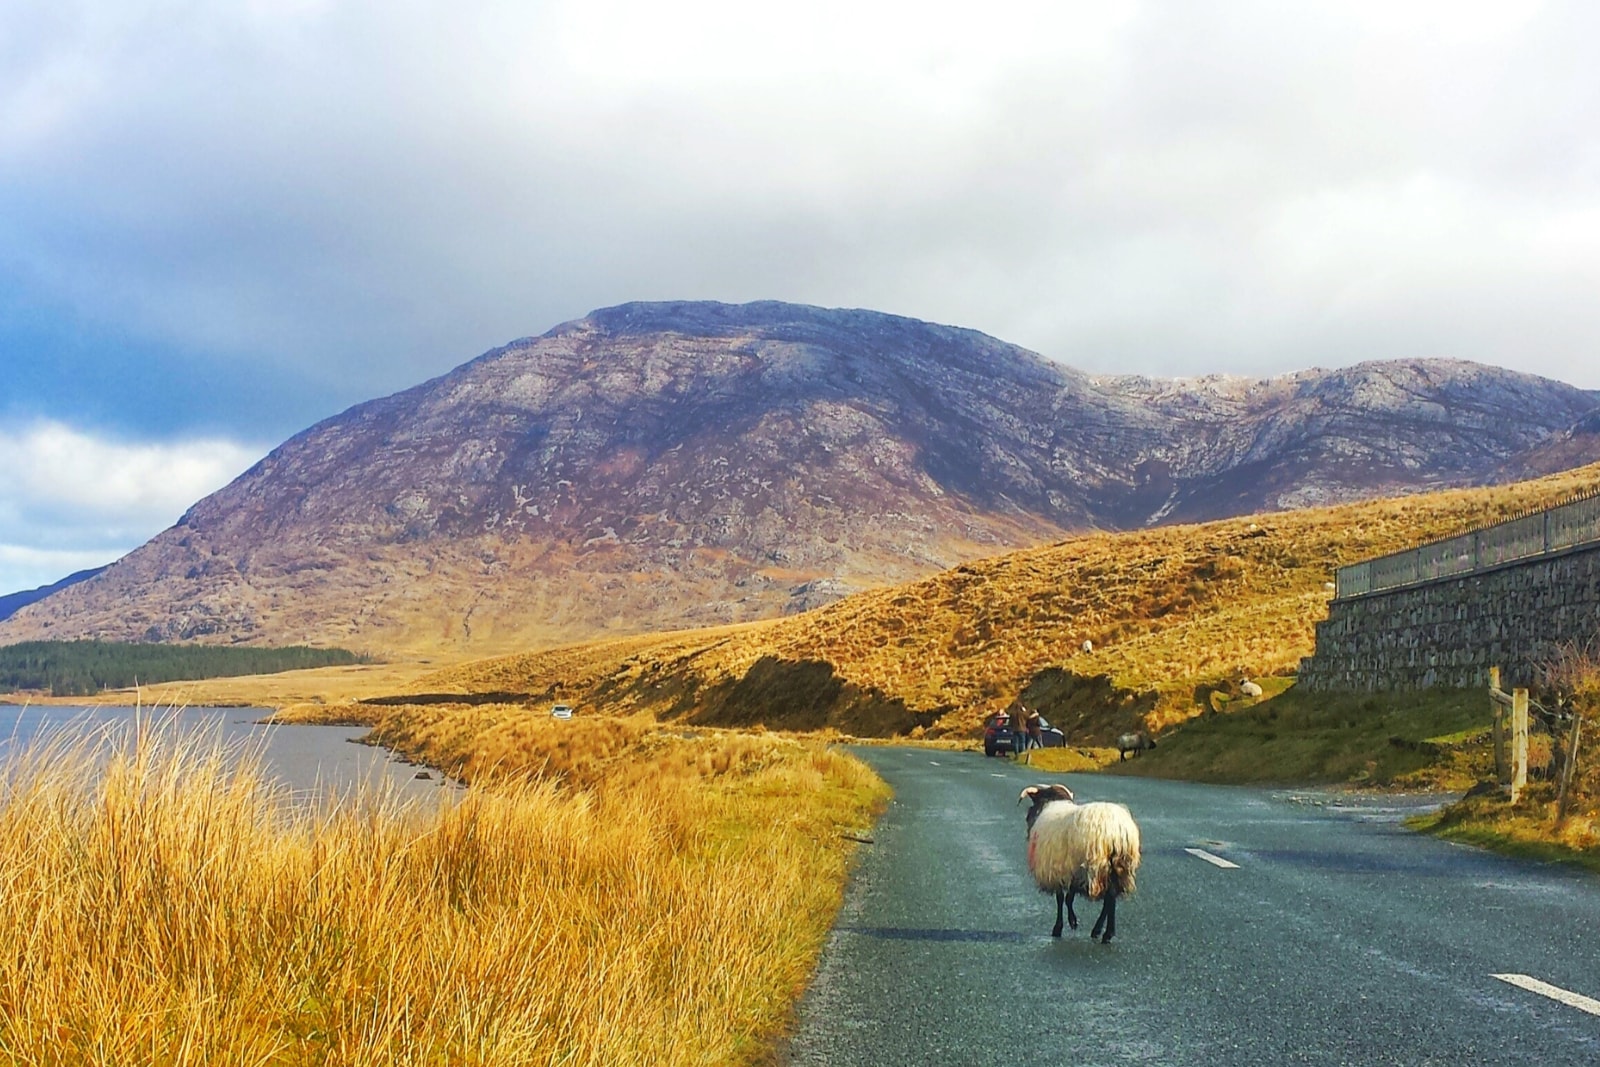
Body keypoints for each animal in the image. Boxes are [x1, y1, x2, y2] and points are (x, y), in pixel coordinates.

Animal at [1017, 783, 1145, 940]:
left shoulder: (1060, 870)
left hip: (1096, 866)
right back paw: (1100, 931)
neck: (1053, 802)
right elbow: (1068, 898)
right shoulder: (1071, 870)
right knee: (1111, 897)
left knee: (1109, 896)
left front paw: (1063, 926)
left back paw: (1106, 933)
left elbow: (1062, 899)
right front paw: (1070, 922)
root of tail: (1117, 830)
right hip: (1118, 865)